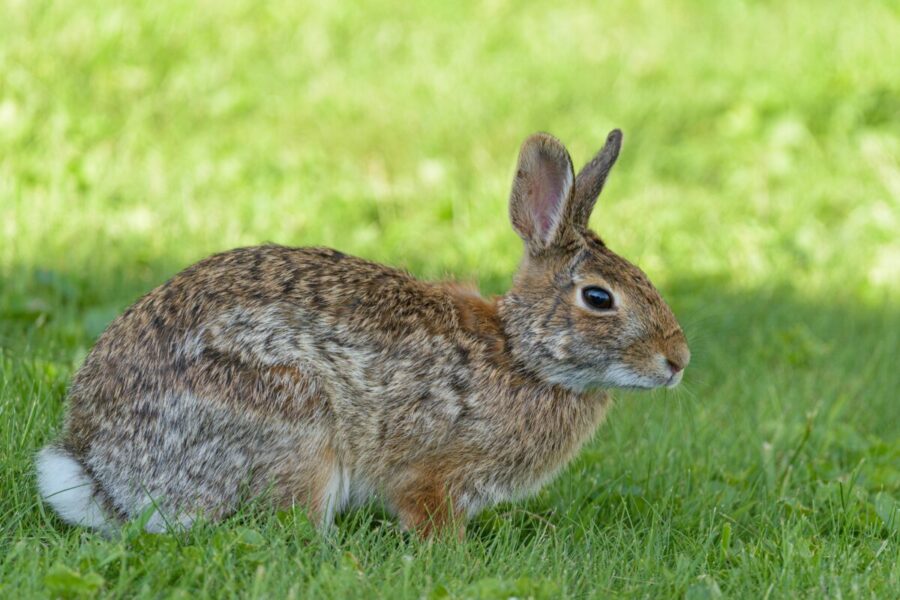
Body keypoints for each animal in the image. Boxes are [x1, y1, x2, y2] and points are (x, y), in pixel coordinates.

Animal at [36, 129, 690, 537]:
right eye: (599, 298)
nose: (678, 360)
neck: (522, 354)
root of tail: (102, 471)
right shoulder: (433, 472)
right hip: (295, 426)